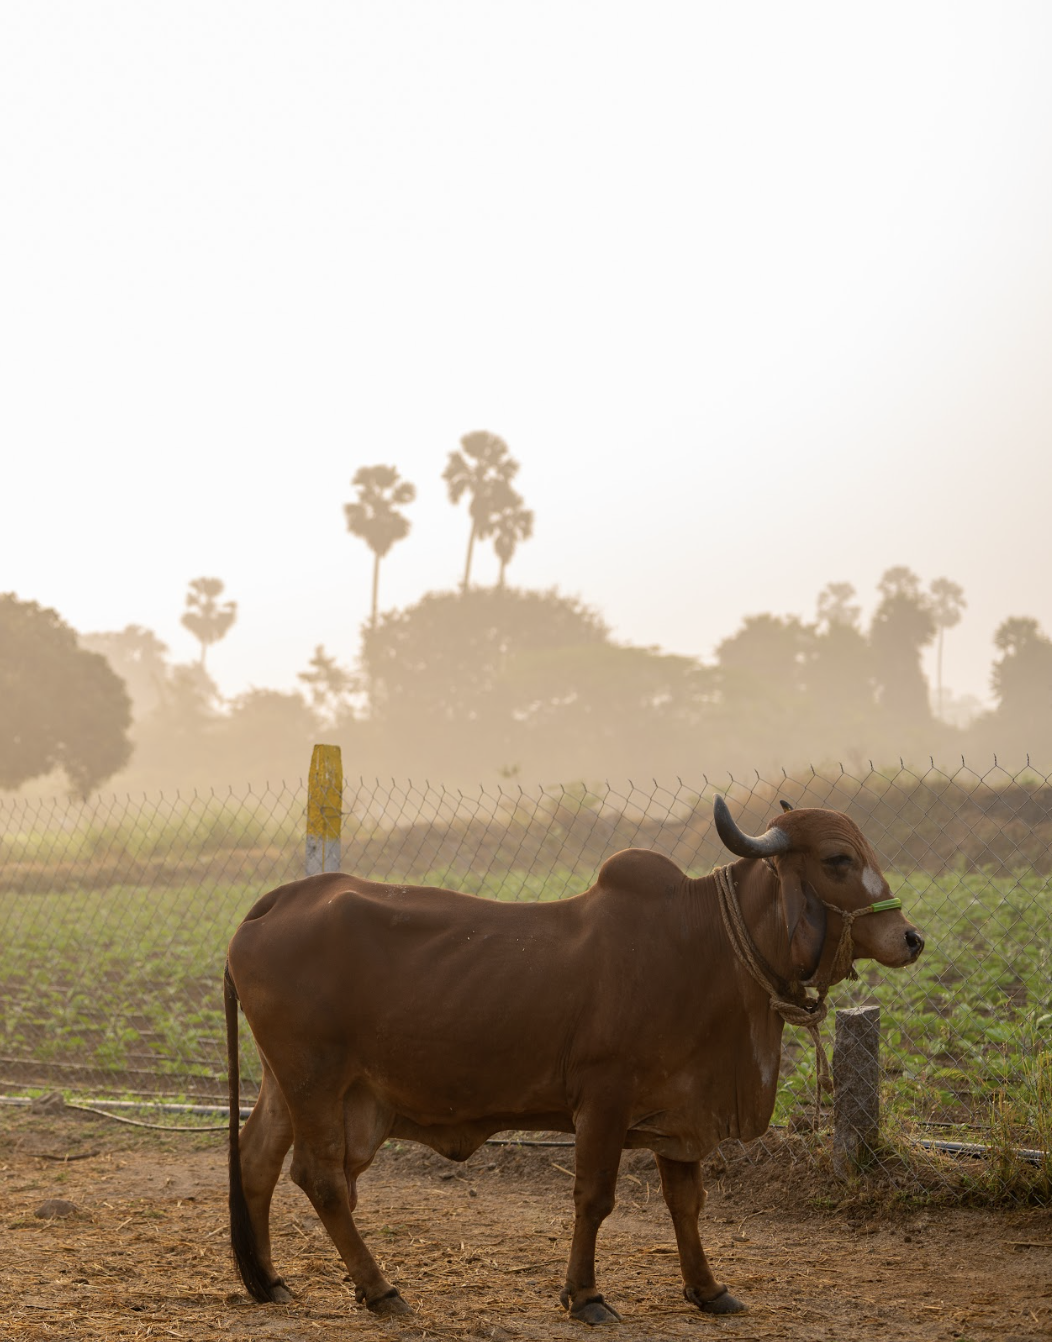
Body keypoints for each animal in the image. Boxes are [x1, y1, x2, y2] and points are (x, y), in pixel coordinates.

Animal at [224, 796, 924, 1324]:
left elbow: (687, 1204)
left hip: (287, 1084)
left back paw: (271, 1281)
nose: (910, 938)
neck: (704, 944)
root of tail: (280, 899)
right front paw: (585, 1296)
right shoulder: (604, 1101)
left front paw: (708, 1289)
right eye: (838, 860)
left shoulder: (684, 1113)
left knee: (256, 1158)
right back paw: (379, 1289)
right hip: (315, 1080)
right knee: (321, 1179)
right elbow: (594, 1198)